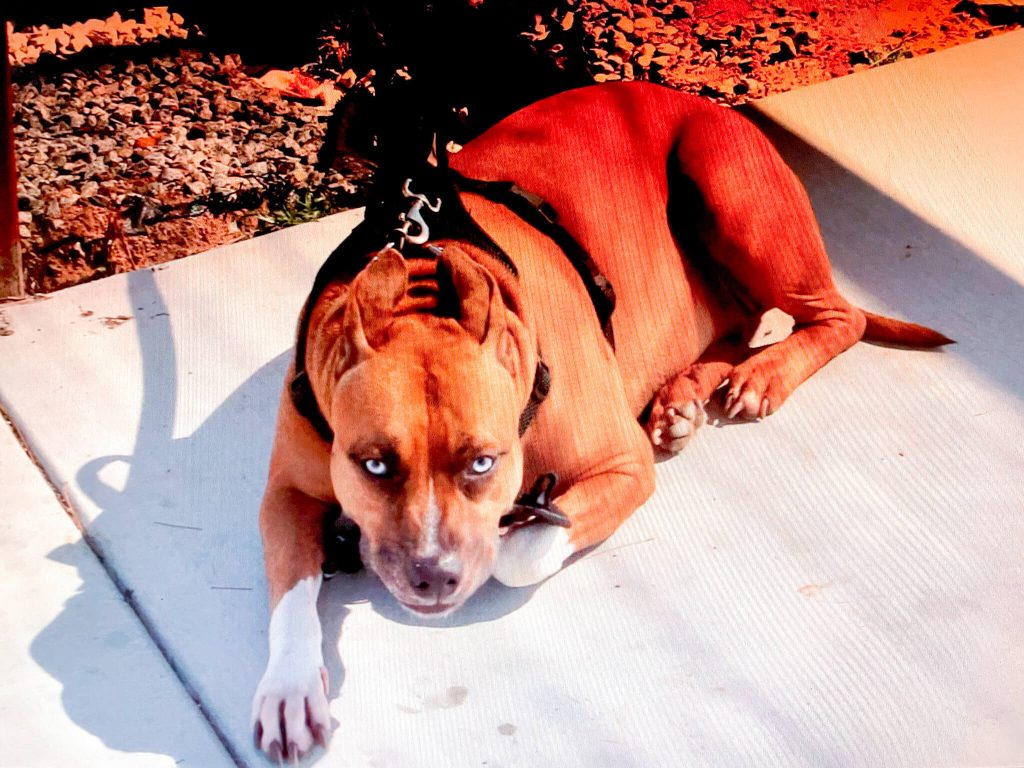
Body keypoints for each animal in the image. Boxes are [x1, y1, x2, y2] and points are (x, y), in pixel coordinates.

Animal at [249, 81, 950, 761]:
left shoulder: (623, 466)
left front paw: (510, 530)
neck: (421, 286)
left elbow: (519, 552)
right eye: (372, 464)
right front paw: (288, 686)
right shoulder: (285, 493)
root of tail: (701, 100)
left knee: (838, 317)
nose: (431, 574)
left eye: (484, 462)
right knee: (742, 321)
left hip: (730, 191)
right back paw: (682, 397)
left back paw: (763, 376)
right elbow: (289, 587)